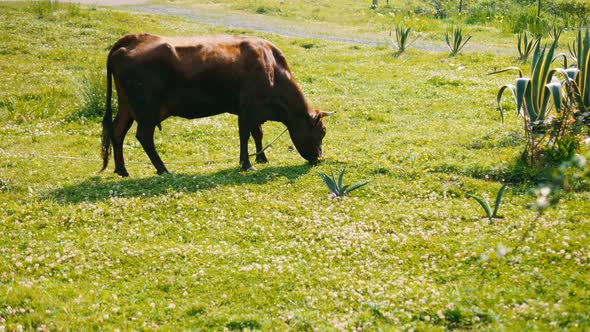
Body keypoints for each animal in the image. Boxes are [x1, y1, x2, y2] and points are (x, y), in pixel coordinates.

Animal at [102, 33, 332, 176]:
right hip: (147, 109)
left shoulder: (255, 111)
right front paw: (246, 164)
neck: (272, 68)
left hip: (126, 106)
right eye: (322, 131)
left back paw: (122, 170)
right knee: (143, 136)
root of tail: (130, 40)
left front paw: (262, 158)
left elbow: (257, 134)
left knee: (117, 131)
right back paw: (163, 169)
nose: (320, 158)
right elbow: (245, 134)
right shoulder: (247, 108)